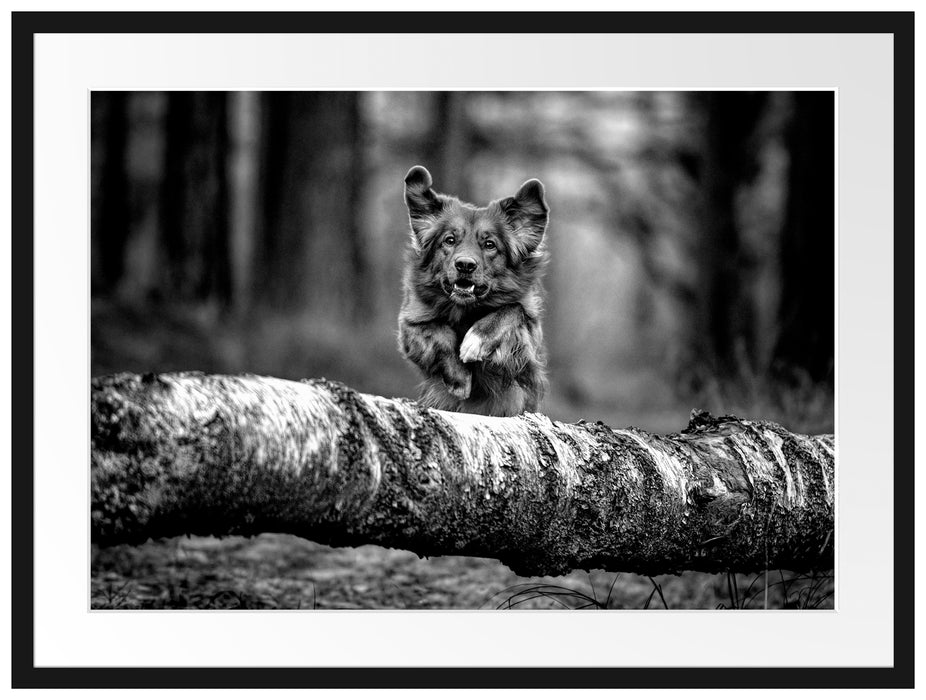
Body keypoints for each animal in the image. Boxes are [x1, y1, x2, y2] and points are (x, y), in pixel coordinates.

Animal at [398, 165, 552, 416]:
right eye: (449, 240)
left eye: (490, 245)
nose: (465, 265)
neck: (466, 308)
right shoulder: (410, 324)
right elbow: (440, 332)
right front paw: (460, 378)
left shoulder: (527, 342)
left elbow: (512, 309)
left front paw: (476, 340)